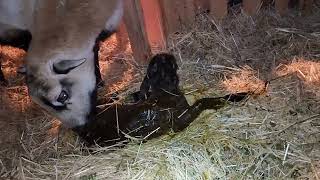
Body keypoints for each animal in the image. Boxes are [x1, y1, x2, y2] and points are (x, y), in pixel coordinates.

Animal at [73, 53, 248, 146]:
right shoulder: (178, 120)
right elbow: (201, 102)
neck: (162, 90)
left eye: (154, 65)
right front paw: (234, 97)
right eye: (168, 63)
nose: (162, 55)